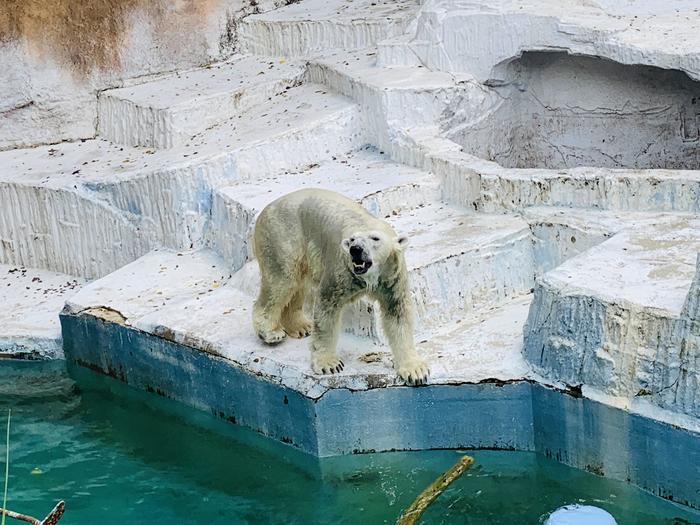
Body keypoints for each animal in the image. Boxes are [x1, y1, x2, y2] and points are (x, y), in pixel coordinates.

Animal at [252, 188, 426, 384]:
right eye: (352, 239)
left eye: (375, 238)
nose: (355, 250)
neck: (370, 276)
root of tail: (265, 210)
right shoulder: (341, 271)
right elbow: (326, 311)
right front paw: (329, 364)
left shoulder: (392, 277)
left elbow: (398, 314)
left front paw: (415, 370)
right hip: (282, 237)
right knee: (281, 281)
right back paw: (271, 332)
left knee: (297, 286)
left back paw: (300, 327)